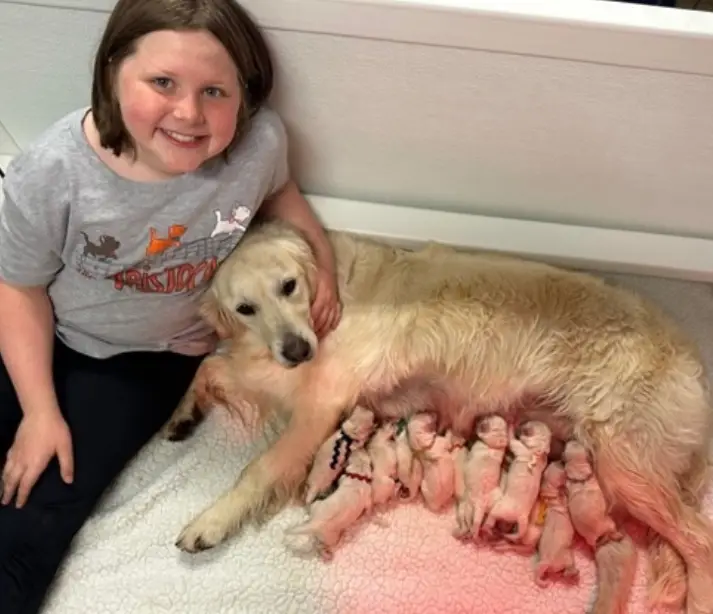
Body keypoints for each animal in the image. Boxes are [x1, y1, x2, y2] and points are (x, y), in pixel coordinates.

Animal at [163, 219, 712, 612]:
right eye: (246, 307)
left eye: (289, 285)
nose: (296, 350)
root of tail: (694, 364)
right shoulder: (273, 370)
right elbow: (212, 364)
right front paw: (184, 415)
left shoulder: (320, 400)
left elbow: (258, 469)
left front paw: (210, 521)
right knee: (622, 551)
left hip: (626, 464)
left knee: (701, 545)